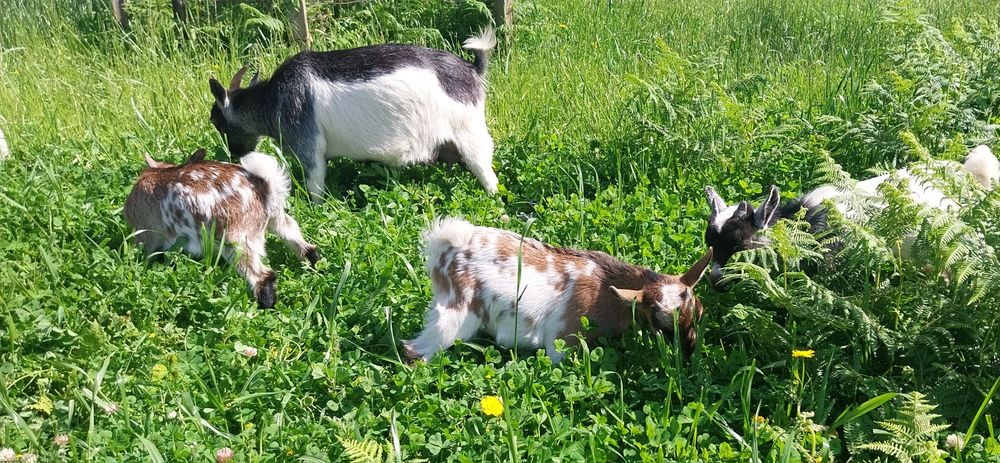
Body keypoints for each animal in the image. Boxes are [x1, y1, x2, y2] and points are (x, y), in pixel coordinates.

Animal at [124, 148, 319, 308]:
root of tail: (263, 187)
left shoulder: (146, 235)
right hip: (276, 219)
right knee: (302, 243)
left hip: (237, 242)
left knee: (260, 275)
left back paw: (264, 305)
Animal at [208, 28, 499, 200]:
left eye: (216, 122)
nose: (235, 156)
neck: (273, 98)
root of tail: (472, 70)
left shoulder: (308, 144)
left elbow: (315, 186)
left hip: (470, 135)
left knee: (487, 173)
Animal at [403, 217, 714, 363]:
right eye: (659, 326)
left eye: (699, 313)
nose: (689, 353)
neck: (604, 288)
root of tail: (446, 246)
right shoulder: (563, 341)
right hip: (454, 315)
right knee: (416, 349)